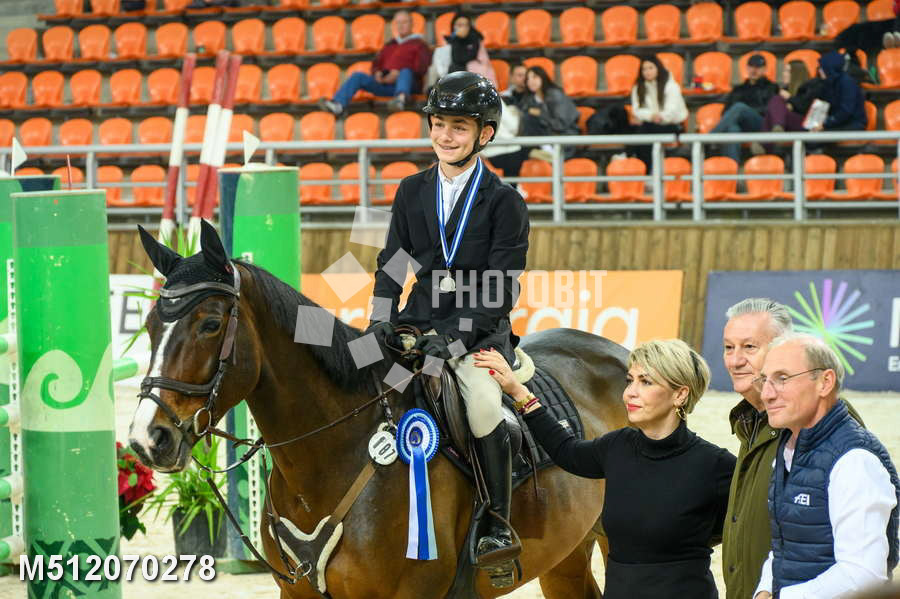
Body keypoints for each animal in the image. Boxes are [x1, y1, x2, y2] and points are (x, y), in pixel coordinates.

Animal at [128, 221, 630, 599]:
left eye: (211, 324)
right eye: (149, 325)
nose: (148, 439)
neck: (333, 456)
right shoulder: (297, 592)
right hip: (567, 555)